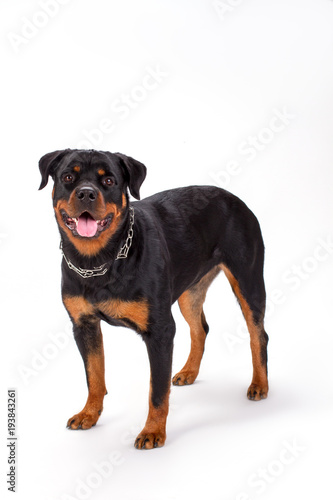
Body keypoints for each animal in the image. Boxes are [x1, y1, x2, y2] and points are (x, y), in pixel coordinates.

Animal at [38, 147, 268, 450]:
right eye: (67, 177)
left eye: (109, 181)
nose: (86, 193)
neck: (100, 261)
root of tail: (235, 199)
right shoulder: (84, 325)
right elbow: (94, 375)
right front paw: (89, 413)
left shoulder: (159, 330)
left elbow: (157, 391)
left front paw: (153, 432)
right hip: (189, 291)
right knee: (200, 328)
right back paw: (189, 372)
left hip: (248, 281)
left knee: (258, 334)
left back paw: (259, 385)